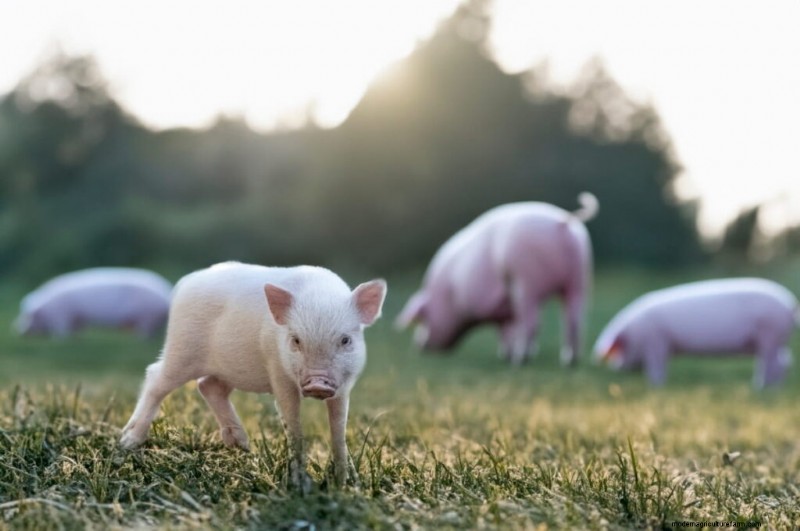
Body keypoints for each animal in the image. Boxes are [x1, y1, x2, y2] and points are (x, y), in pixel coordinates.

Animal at [14, 267, 172, 339]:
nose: (18, 331)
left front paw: (60, 339)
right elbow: (76, 329)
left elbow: (62, 330)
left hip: (147, 315)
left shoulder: (62, 315)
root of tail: (166, 292)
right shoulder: (76, 318)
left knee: (146, 331)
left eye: (27, 316)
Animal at [119, 261, 387, 489]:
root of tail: (186, 281)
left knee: (208, 386)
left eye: (345, 340)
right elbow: (294, 426)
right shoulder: (278, 371)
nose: (318, 383)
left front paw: (347, 484)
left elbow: (338, 429)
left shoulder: (343, 386)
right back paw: (128, 441)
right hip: (181, 349)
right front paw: (300, 485)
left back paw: (241, 446)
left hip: (223, 368)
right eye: (296, 340)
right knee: (156, 378)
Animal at [396, 192, 598, 366]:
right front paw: (505, 355)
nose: (418, 346)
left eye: (423, 319)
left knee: (533, 323)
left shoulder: (494, 309)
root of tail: (562, 222)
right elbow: (509, 329)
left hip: (527, 281)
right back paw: (570, 362)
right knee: (574, 321)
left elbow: (505, 331)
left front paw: (506, 356)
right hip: (579, 278)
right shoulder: (506, 311)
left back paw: (520, 360)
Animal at [594, 278, 800, 388]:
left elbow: (657, 367)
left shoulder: (656, 342)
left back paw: (761, 387)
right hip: (774, 339)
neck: (636, 332)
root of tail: (790, 305)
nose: (616, 368)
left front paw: (655, 386)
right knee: (785, 360)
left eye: (621, 348)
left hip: (770, 333)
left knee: (773, 363)